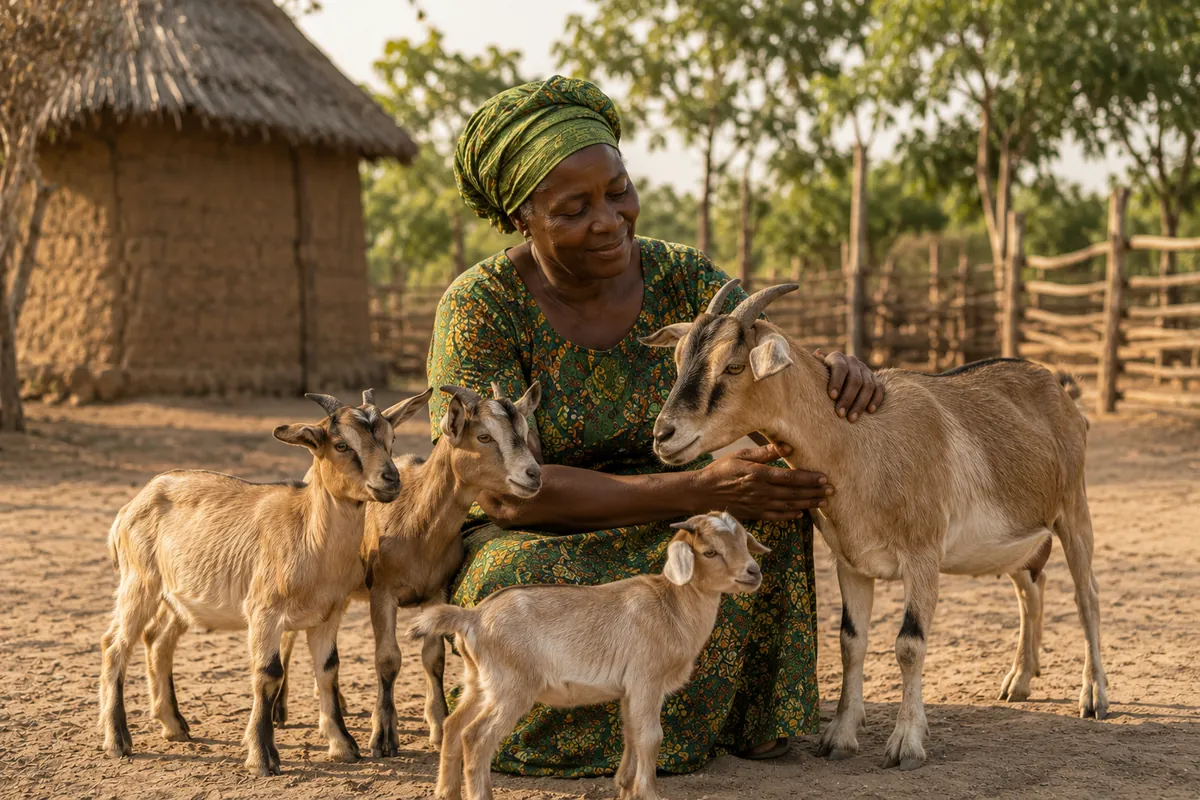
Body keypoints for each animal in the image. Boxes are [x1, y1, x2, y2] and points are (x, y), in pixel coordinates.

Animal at [98, 388, 431, 775]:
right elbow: (268, 672)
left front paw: (343, 747)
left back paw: (174, 725)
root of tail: (130, 507)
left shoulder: (328, 615)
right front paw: (261, 757)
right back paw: (118, 740)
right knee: (115, 644)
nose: (390, 479)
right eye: (341, 445)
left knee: (158, 641)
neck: (309, 535)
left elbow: (329, 670)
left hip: (176, 598)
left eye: (391, 439)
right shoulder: (264, 612)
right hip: (138, 582)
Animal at [274, 382, 543, 758]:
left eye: (523, 431)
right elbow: (388, 659)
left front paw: (439, 727)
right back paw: (280, 710)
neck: (417, 521)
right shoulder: (382, 592)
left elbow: (434, 658)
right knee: (288, 636)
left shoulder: (437, 592)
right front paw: (383, 736)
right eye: (484, 436)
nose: (533, 474)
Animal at [408, 510, 767, 800]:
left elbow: (631, 732)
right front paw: (648, 793)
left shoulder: (629, 690)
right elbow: (651, 737)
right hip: (512, 686)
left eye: (744, 542)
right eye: (710, 552)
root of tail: (473, 617)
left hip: (479, 680)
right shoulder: (647, 681)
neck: (672, 606)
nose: (753, 572)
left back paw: (446, 792)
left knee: (453, 725)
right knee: (476, 738)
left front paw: (625, 787)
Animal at [642, 279, 1107, 771]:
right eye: (679, 361)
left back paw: (1093, 696)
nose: (664, 435)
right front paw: (839, 737)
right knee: (1029, 589)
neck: (861, 442)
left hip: (1073, 510)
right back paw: (1019, 680)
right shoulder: (851, 561)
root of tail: (1061, 390)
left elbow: (908, 644)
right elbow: (851, 642)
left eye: (733, 365)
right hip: (1017, 537)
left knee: (1086, 595)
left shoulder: (923, 555)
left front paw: (906, 744)